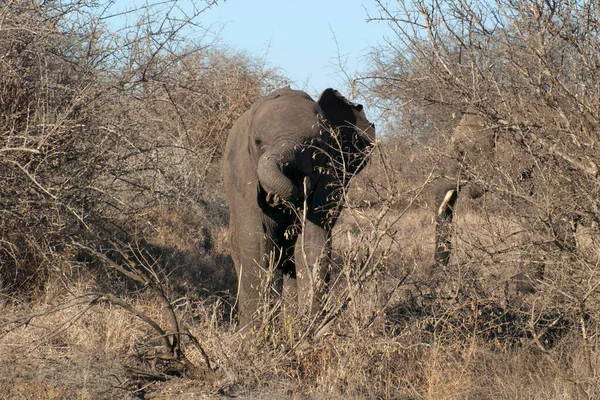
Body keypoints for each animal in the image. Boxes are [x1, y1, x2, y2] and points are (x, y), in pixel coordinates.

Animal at [224, 88, 376, 332]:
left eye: (316, 145)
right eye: (258, 142)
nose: (275, 197)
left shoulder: (332, 173)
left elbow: (313, 243)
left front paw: (306, 332)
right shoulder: (241, 174)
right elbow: (256, 242)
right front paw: (253, 338)